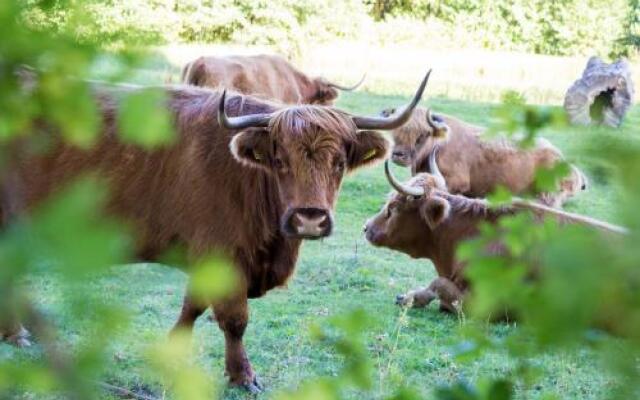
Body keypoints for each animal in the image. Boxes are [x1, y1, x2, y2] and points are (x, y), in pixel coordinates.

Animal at [0, 72, 430, 394]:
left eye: (339, 162)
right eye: (279, 160)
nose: (309, 219)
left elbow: (193, 305)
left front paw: (172, 351)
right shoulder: (222, 252)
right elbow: (234, 318)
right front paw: (243, 376)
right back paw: (16, 334)